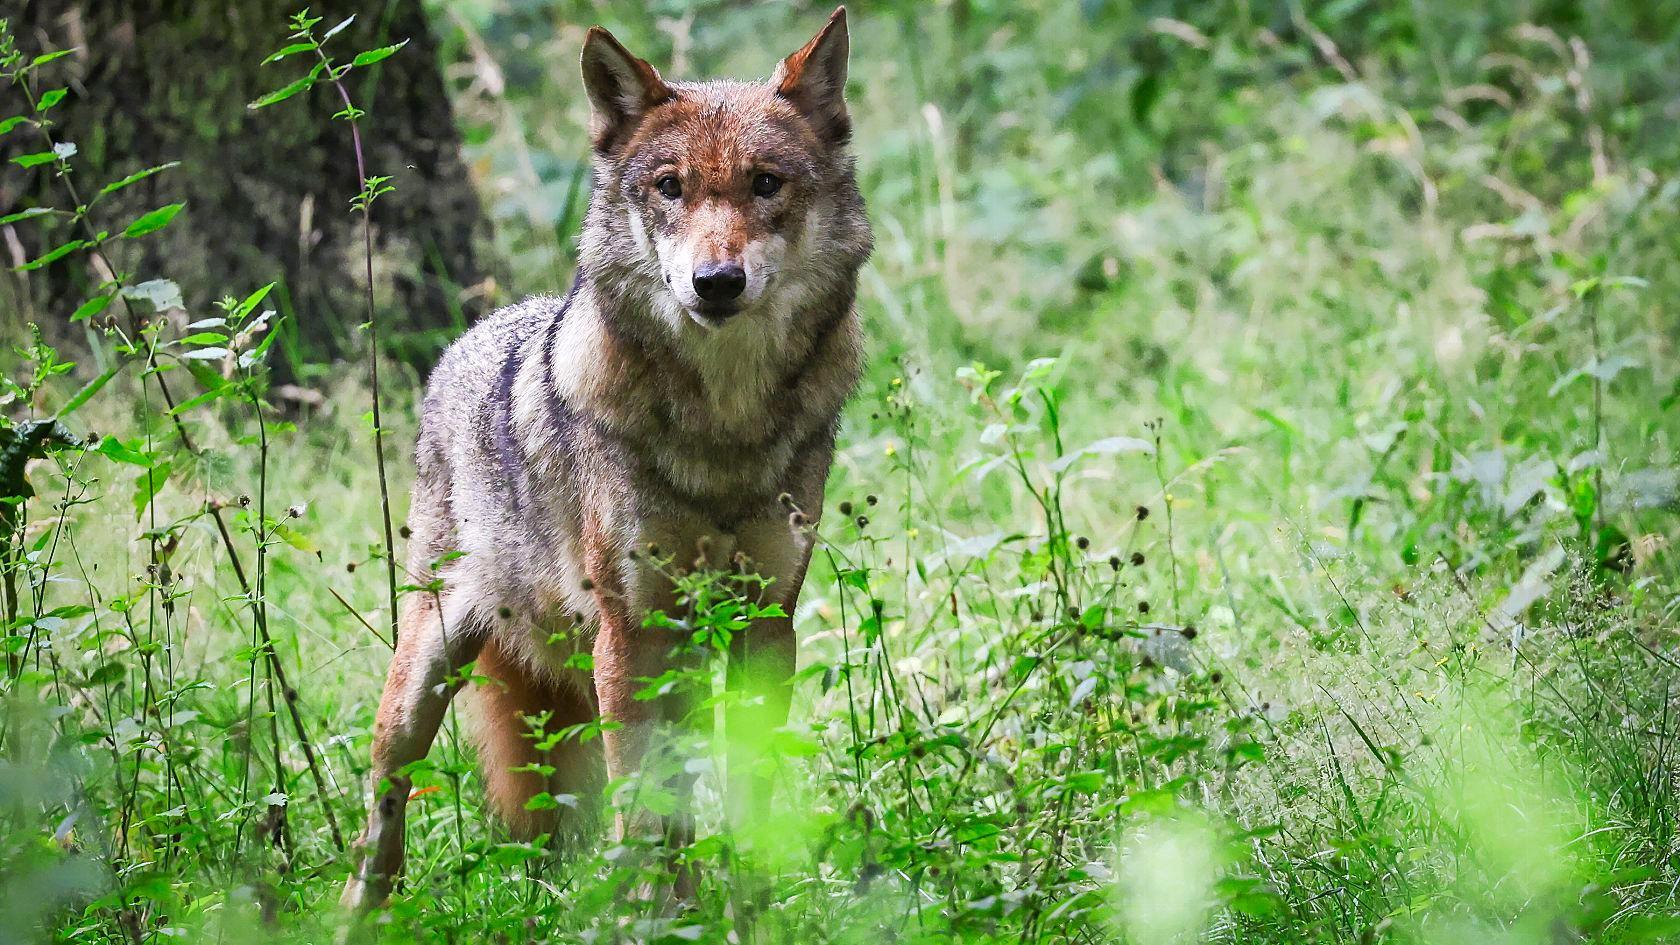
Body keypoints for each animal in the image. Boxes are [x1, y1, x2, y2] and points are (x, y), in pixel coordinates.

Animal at [340, 7, 871, 912]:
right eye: (669, 186)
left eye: (766, 183)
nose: (716, 281)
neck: (723, 427)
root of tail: (469, 338)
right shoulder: (630, 632)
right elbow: (642, 806)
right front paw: (651, 916)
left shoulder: (766, 623)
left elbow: (748, 792)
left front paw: (753, 906)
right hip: (425, 677)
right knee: (384, 807)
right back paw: (359, 912)